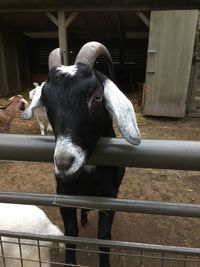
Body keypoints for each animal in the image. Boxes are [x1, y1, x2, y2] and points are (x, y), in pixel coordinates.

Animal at [21, 42, 141, 267]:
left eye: (97, 96)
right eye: (46, 100)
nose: (64, 163)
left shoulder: (109, 198)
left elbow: (104, 237)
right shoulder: (64, 195)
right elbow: (71, 233)